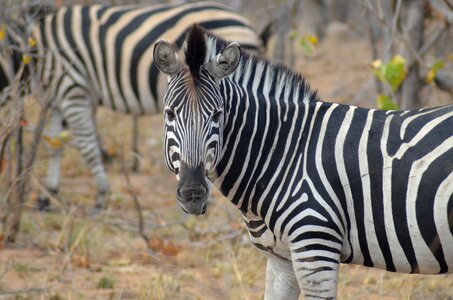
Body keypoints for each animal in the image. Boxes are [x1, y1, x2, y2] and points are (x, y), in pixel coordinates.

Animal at [0, 2, 262, 210]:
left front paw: (101, 195)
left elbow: (87, 146)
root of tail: (245, 23)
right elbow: (55, 143)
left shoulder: (73, 87)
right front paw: (48, 195)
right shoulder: (56, 96)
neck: (36, 48)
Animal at [154, 24, 452, 298]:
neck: (283, 154)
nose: (193, 194)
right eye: (169, 114)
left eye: (217, 115)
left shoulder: (316, 250)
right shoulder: (281, 261)